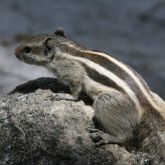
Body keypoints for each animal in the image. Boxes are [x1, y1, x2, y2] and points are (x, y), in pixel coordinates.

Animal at [15, 29, 165, 163]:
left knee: (125, 135)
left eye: (27, 49)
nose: (14, 52)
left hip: (107, 102)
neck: (65, 49)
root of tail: (147, 103)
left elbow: (76, 88)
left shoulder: (71, 70)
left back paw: (106, 137)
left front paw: (66, 96)